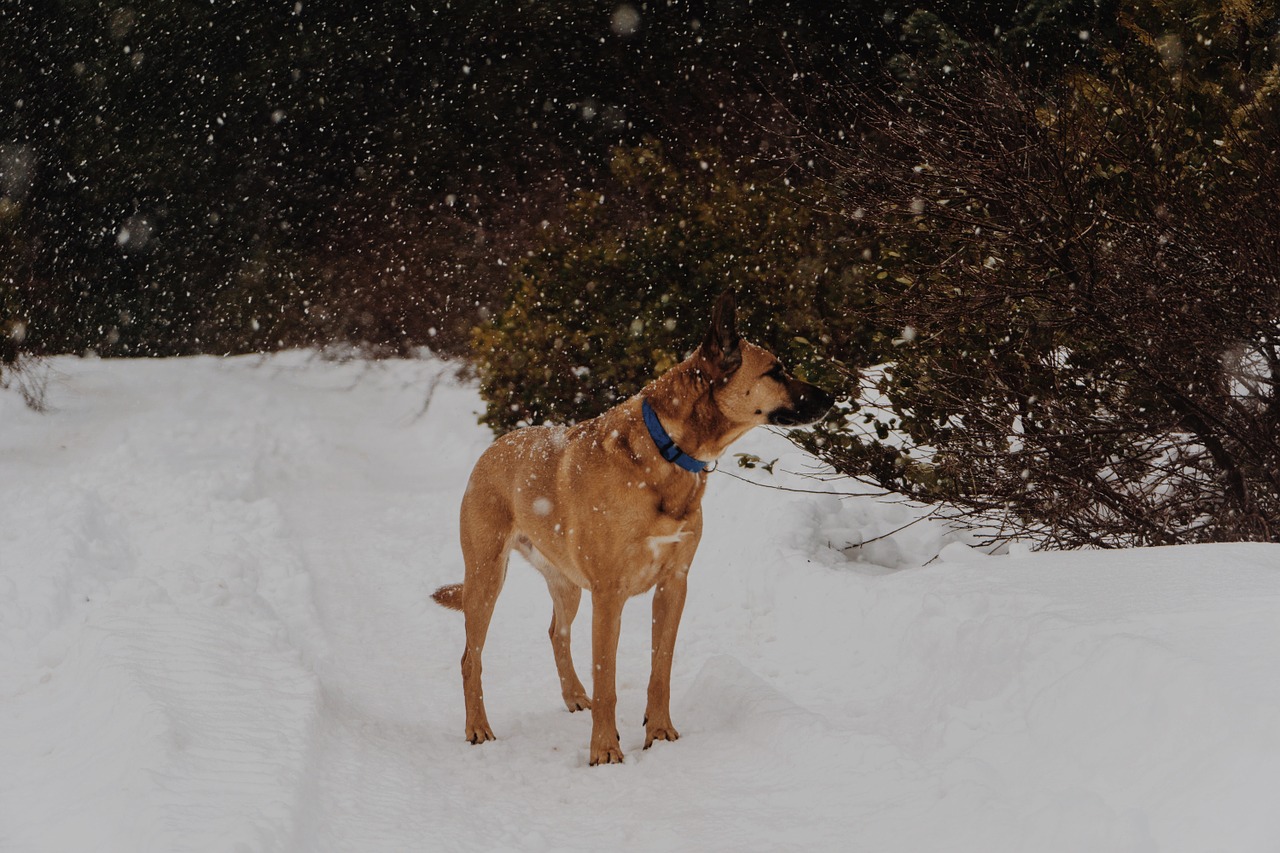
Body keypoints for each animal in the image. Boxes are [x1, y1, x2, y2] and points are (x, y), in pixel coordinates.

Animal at [435, 289, 834, 758]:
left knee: (556, 633)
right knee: (471, 658)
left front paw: (659, 732)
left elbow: (660, 669)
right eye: (775, 370)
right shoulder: (609, 595)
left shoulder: (673, 584)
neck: (667, 450)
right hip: (486, 576)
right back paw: (478, 727)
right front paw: (605, 751)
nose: (832, 398)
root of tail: (496, 446)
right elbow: (607, 680)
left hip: (566, 582)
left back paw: (575, 696)